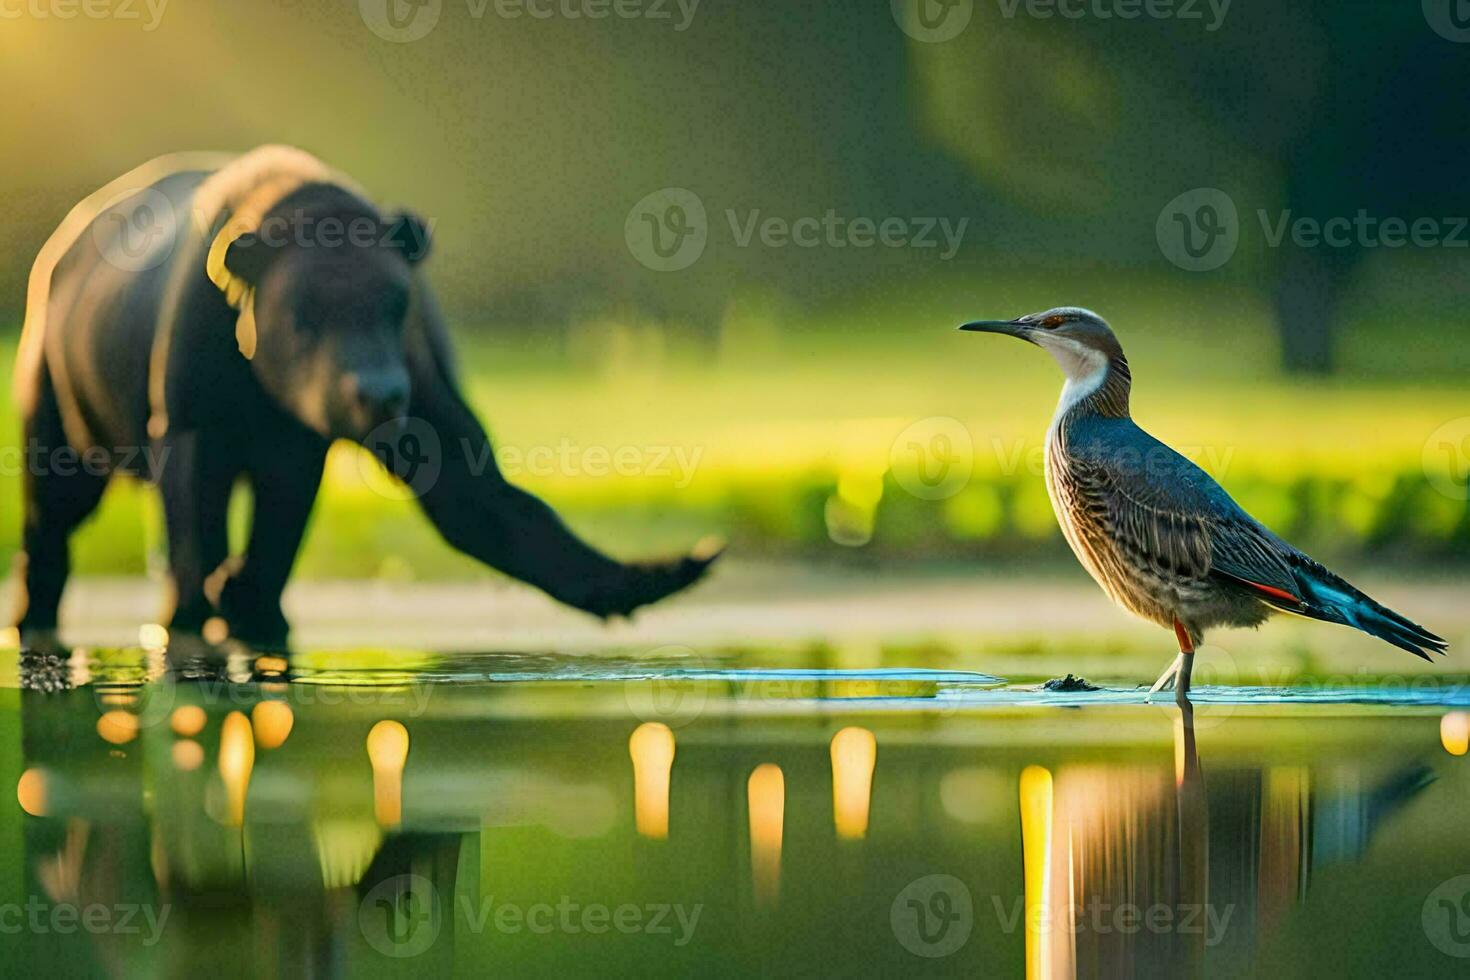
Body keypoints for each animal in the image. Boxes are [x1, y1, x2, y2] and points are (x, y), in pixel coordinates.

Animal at [10, 145, 723, 652]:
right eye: (303, 316)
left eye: (397, 304)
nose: (381, 392)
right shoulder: (189, 422)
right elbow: (195, 525)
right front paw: (201, 612)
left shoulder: (383, 424)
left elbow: (491, 509)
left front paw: (674, 569)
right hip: (57, 415)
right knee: (54, 520)